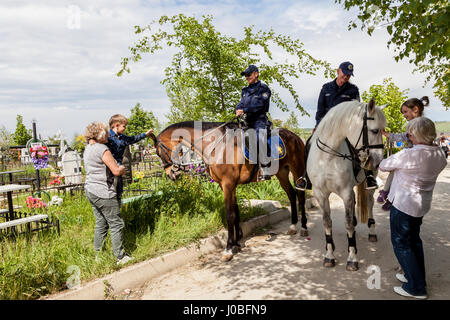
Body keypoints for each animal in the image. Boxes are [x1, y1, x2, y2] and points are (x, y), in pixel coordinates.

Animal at [149, 121, 308, 262]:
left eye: (158, 152)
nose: (171, 174)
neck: (217, 147)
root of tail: (295, 136)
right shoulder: (226, 186)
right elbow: (235, 212)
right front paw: (236, 243)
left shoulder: (228, 184)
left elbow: (230, 215)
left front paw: (228, 249)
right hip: (282, 173)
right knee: (292, 194)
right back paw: (293, 226)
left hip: (297, 170)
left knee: (300, 195)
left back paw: (303, 228)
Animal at [310, 99, 386, 272]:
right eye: (375, 130)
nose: (378, 162)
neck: (328, 158)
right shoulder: (320, 194)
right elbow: (327, 222)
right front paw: (329, 255)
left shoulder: (345, 193)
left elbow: (348, 223)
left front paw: (352, 258)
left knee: (370, 202)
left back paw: (372, 232)